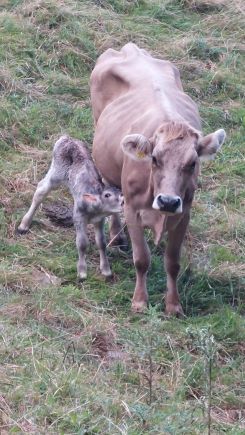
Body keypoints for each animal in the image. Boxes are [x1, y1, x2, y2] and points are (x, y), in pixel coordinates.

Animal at [18, 135, 123, 280]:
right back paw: (23, 225)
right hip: (56, 171)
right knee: (41, 190)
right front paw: (82, 273)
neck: (95, 211)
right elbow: (82, 243)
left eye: (120, 193)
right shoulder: (78, 216)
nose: (123, 202)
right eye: (107, 195)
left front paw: (106, 271)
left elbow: (101, 242)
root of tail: (67, 137)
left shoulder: (99, 220)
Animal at [90, 43, 226, 316]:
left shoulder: (184, 213)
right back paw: (116, 237)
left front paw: (173, 305)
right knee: (110, 190)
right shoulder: (133, 209)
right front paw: (140, 301)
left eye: (192, 164)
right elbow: (142, 259)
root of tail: (131, 48)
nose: (168, 201)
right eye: (153, 158)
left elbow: (172, 262)